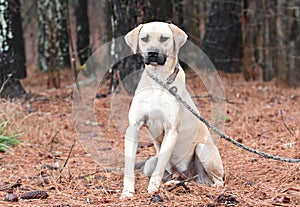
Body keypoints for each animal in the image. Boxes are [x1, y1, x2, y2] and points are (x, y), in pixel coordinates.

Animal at [120, 21, 224, 198]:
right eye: (144, 38)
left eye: (164, 38)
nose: (152, 53)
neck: (159, 80)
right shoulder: (133, 127)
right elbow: (129, 165)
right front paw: (127, 191)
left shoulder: (171, 129)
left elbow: (160, 166)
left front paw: (152, 188)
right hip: (150, 162)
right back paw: (173, 182)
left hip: (203, 150)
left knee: (216, 181)